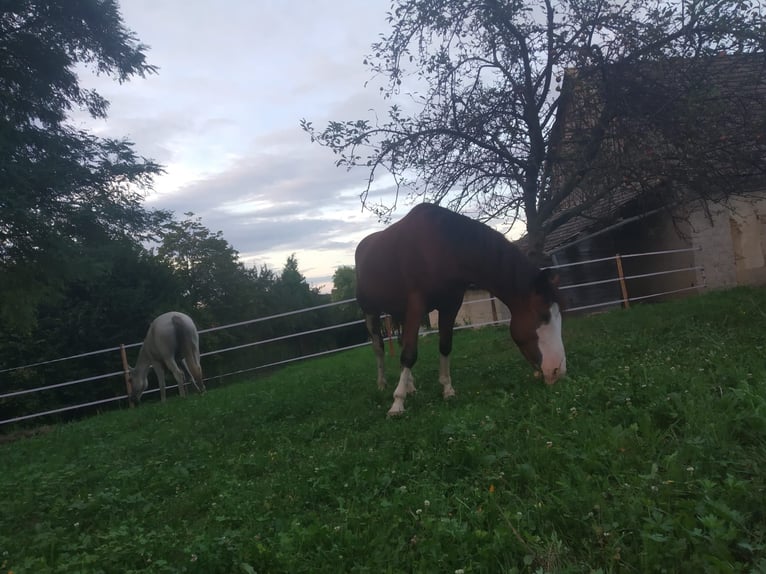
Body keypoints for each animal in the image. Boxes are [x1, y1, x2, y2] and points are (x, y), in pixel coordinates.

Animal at [355, 203, 566, 416]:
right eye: (543, 315)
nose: (558, 370)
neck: (443, 247)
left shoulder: (450, 305)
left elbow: (444, 346)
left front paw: (447, 389)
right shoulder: (417, 304)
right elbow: (409, 354)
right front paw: (397, 403)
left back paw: (410, 386)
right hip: (370, 312)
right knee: (379, 348)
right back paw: (382, 384)